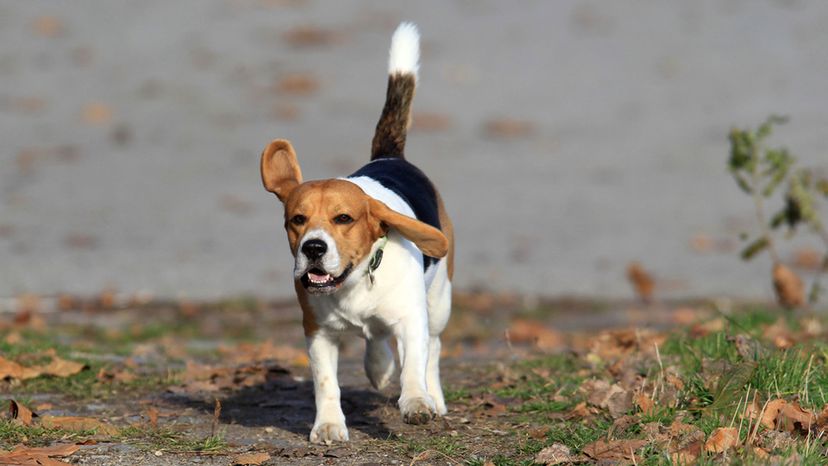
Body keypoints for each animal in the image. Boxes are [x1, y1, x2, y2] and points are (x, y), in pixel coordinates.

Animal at [258, 22, 452, 444]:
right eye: (297, 219)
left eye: (344, 218)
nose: (314, 248)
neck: (353, 283)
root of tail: (389, 156)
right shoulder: (318, 333)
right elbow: (326, 383)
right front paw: (329, 425)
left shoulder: (411, 318)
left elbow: (415, 361)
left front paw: (416, 401)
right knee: (376, 340)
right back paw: (379, 367)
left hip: (438, 302)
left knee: (433, 347)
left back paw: (433, 396)